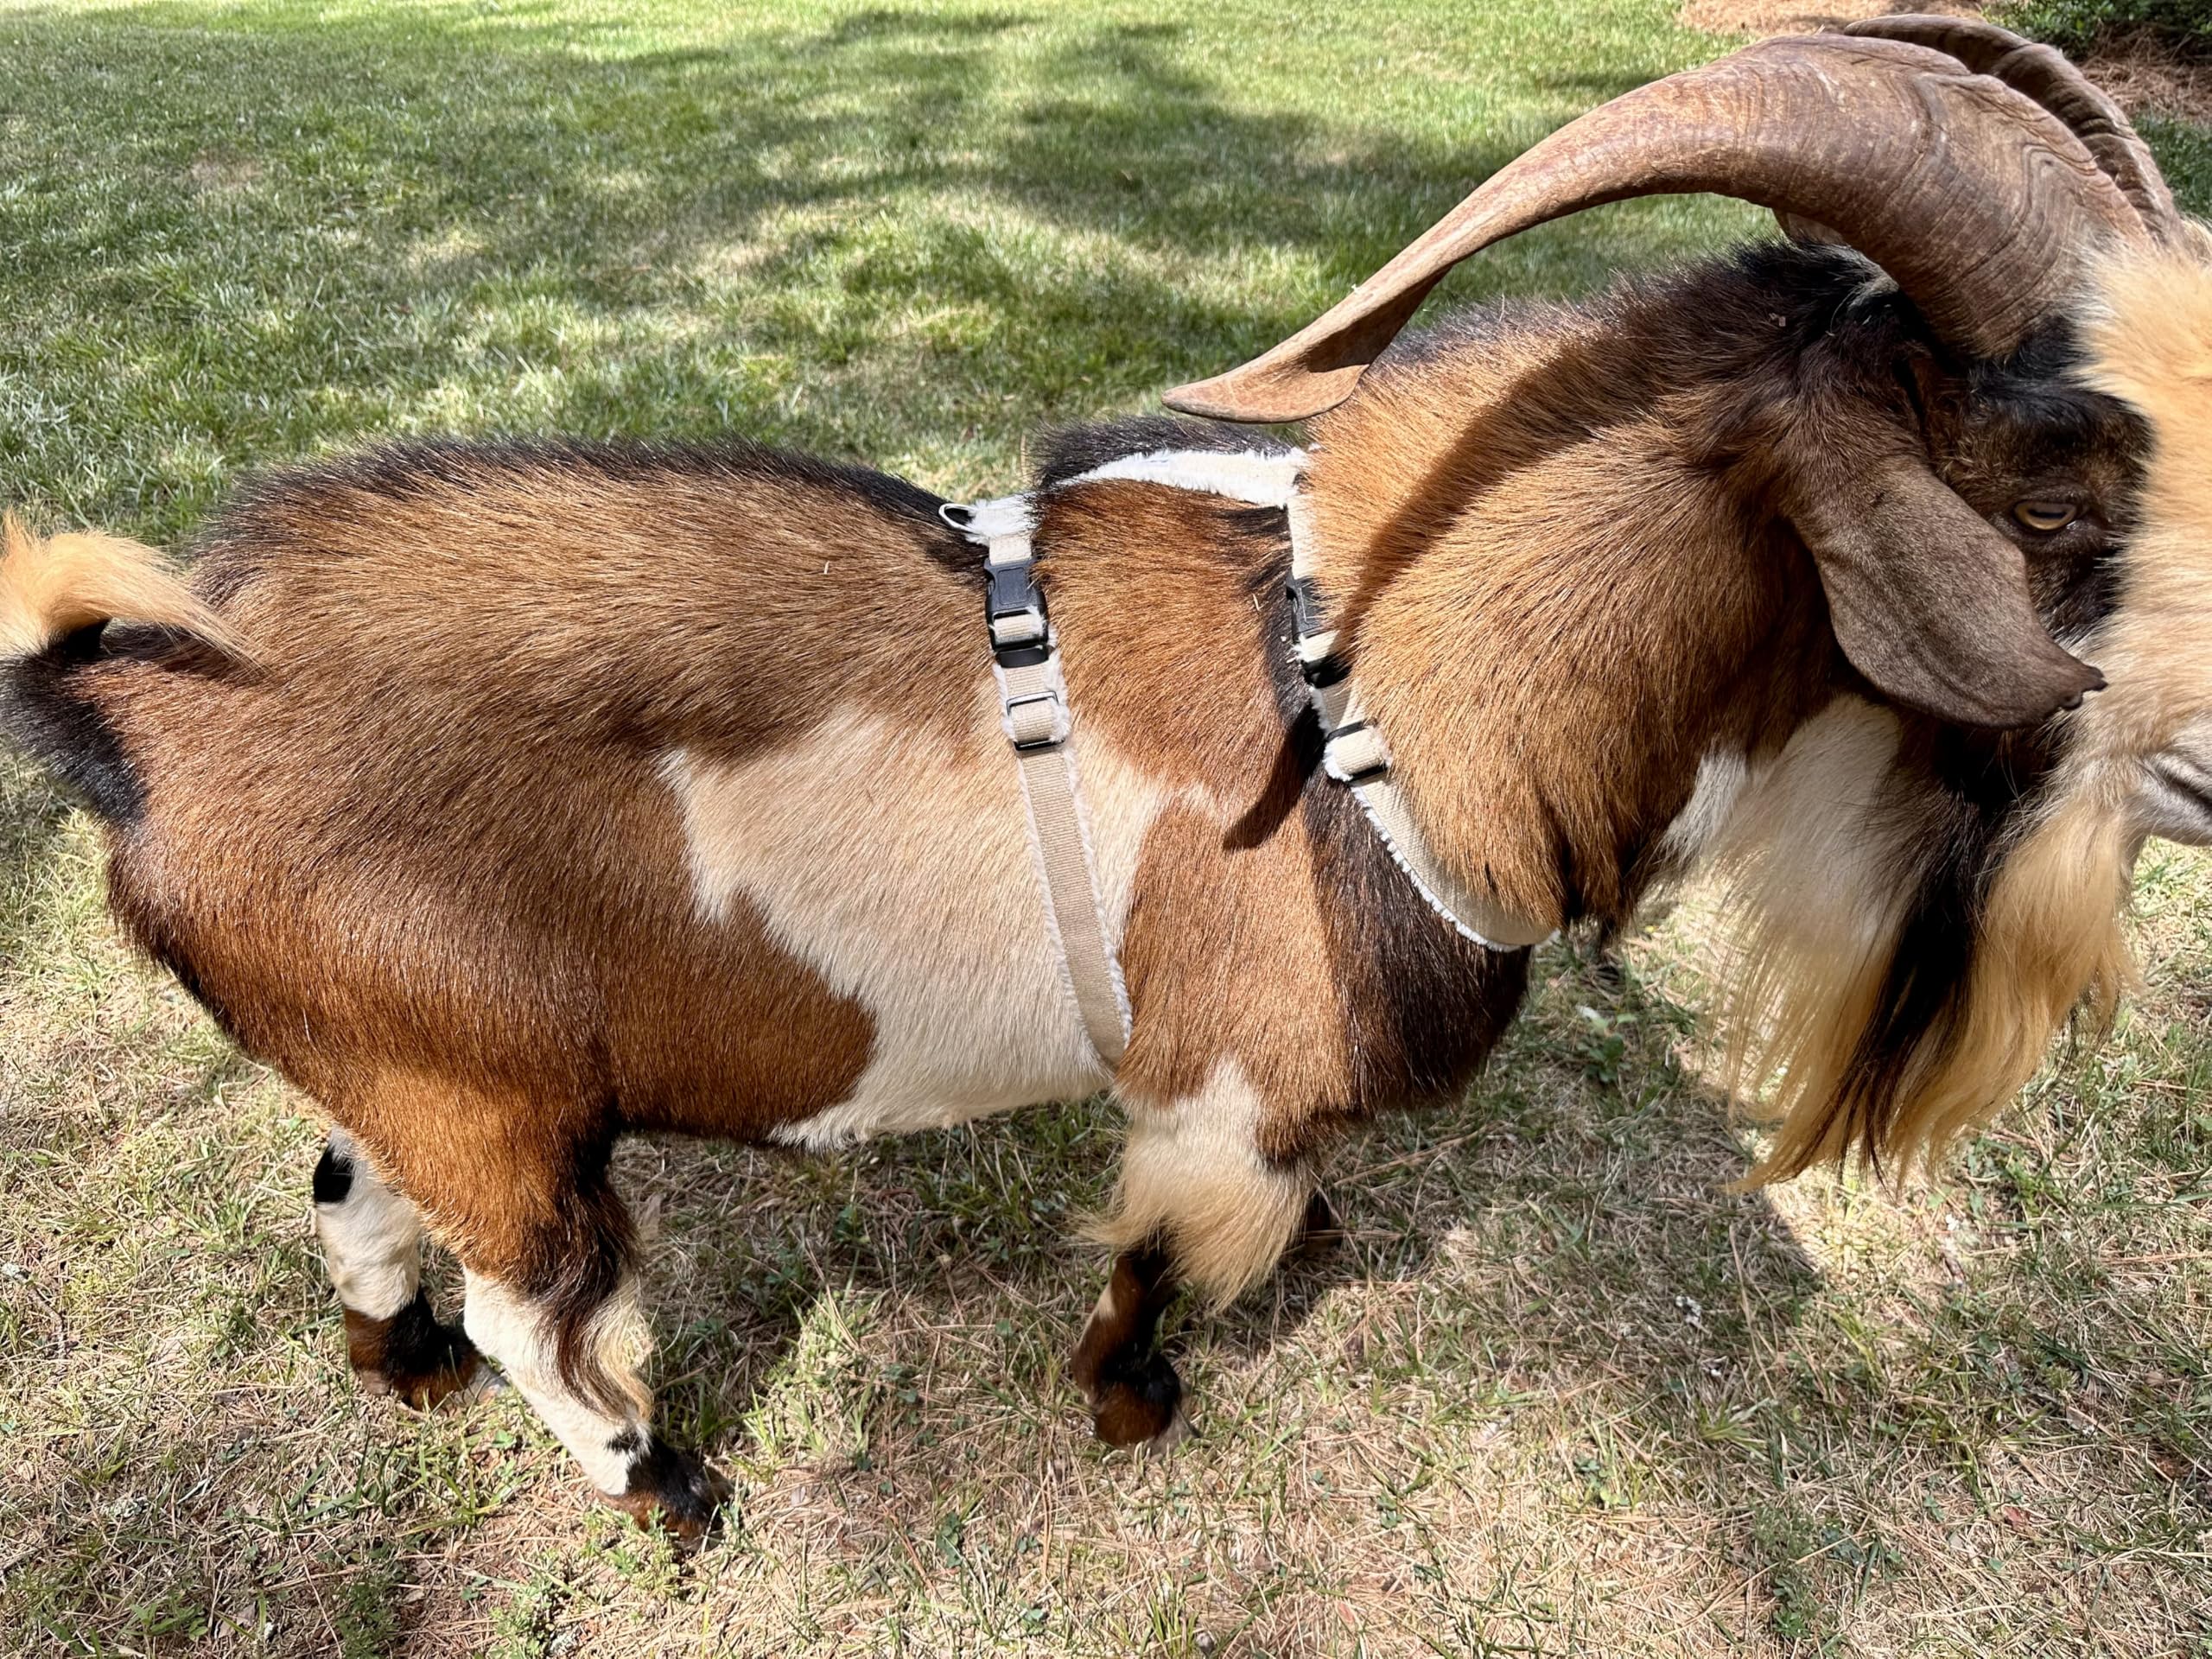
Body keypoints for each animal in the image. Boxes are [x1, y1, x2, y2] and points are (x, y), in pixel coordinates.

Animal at [4, 19, 2209, 1536]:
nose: (2192, 762)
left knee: (353, 1200)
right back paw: (667, 1489)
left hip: (422, 1063)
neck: (1391, 680)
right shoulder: (1220, 1092)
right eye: (2064, 492)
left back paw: (394, 1374)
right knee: (533, 1307)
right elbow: (1160, 1258)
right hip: (506, 1110)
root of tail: (137, 702)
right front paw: (1130, 1404)